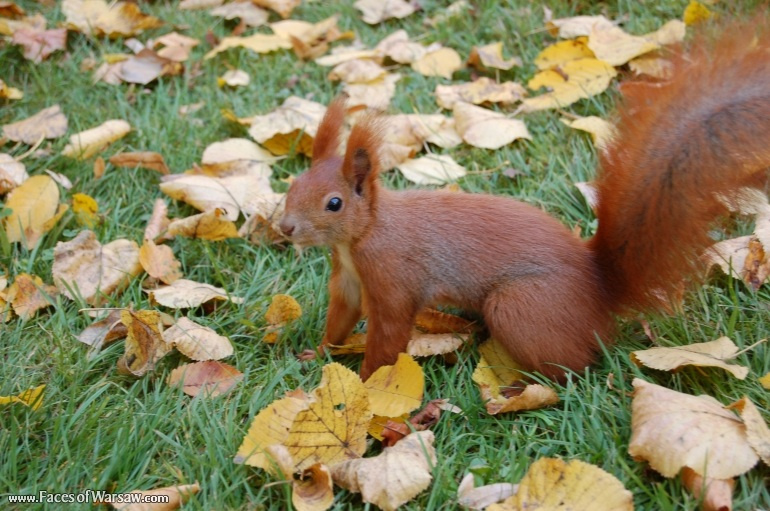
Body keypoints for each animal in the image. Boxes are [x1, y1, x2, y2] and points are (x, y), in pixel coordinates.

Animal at [278, 20, 770, 382]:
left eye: (335, 203)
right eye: (292, 184)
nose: (284, 228)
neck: (364, 233)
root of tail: (599, 288)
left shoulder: (392, 274)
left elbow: (387, 336)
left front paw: (364, 386)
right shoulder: (347, 277)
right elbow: (340, 318)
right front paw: (316, 353)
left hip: (519, 306)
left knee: (577, 368)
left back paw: (522, 386)